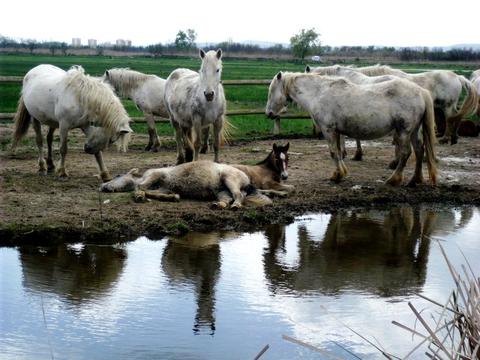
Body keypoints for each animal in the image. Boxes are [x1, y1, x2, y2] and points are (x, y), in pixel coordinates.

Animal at [266, 72, 438, 187]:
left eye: (271, 91)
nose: (269, 113)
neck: (319, 93)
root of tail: (421, 92)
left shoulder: (328, 130)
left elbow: (333, 152)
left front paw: (336, 176)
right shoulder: (336, 132)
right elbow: (338, 152)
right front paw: (341, 173)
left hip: (404, 132)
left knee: (405, 153)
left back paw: (394, 179)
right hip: (413, 131)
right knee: (419, 151)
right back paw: (415, 180)